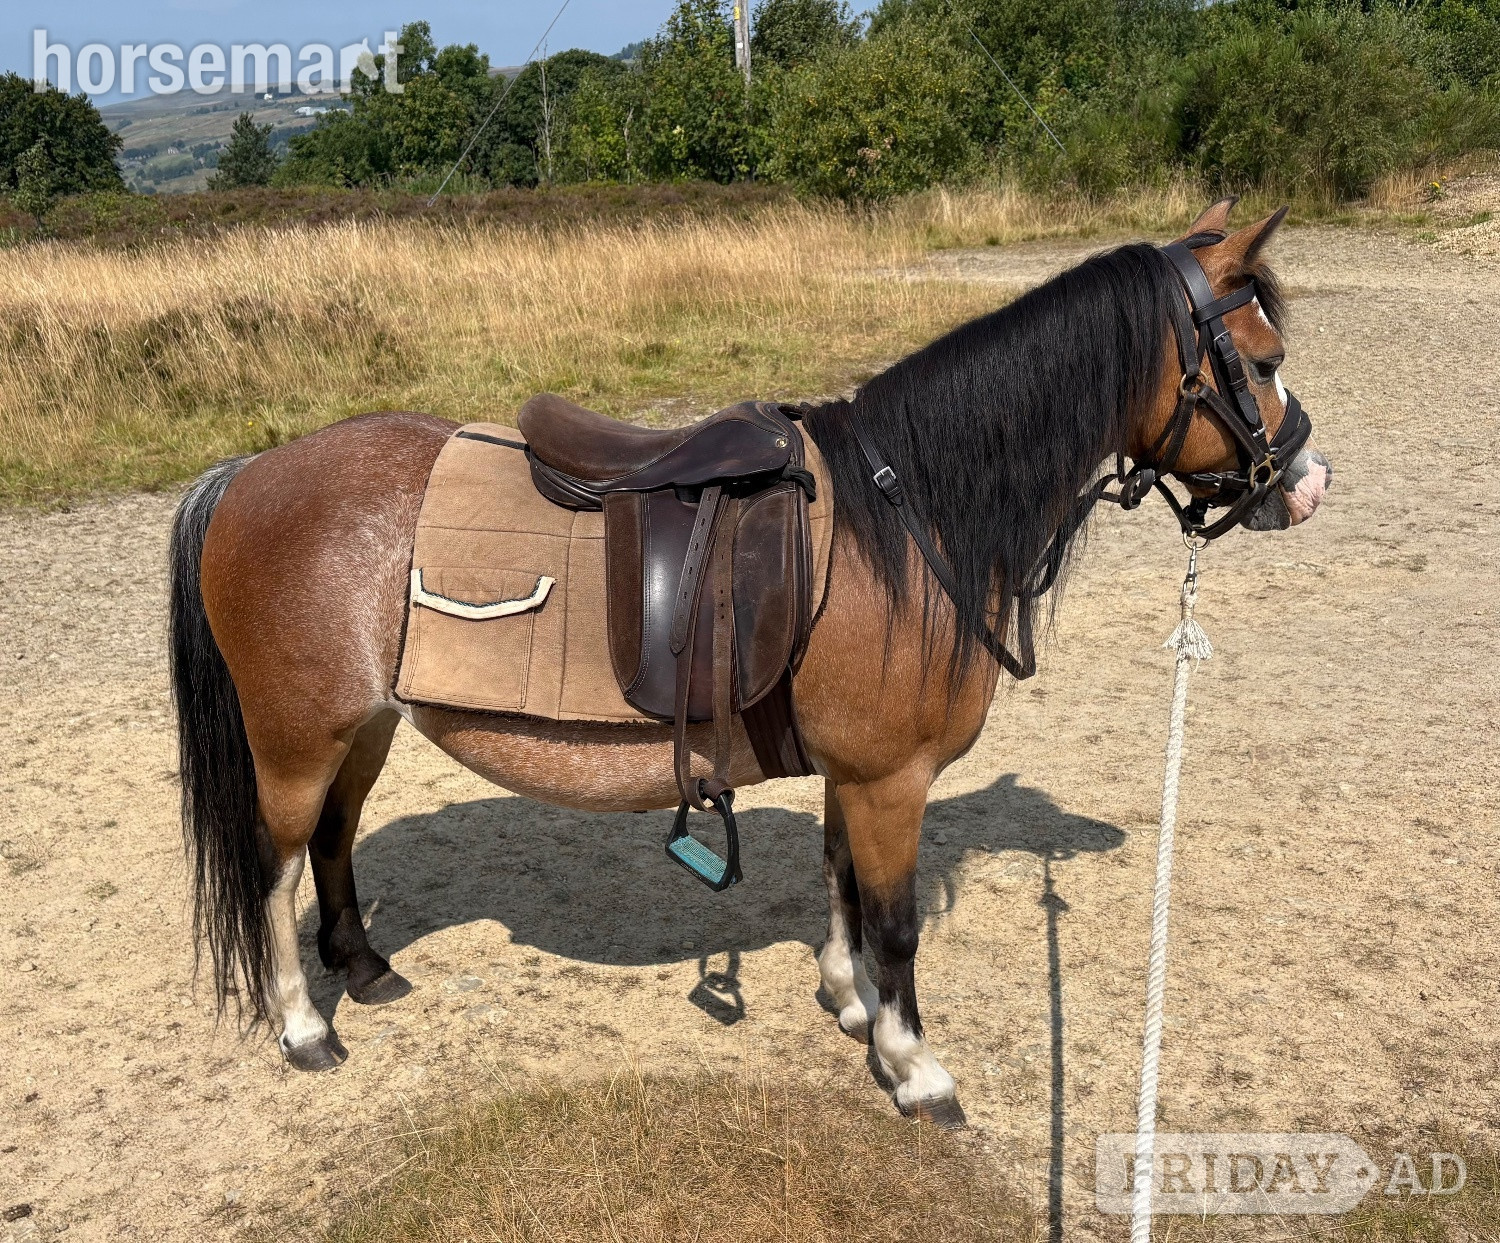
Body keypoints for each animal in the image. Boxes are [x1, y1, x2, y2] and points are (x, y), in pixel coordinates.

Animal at [168, 200, 1331, 1123]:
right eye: (1265, 361)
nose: (1309, 483)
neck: (899, 522)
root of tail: (243, 474)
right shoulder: (891, 777)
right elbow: (897, 925)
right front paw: (914, 1065)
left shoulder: (855, 773)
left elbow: (841, 883)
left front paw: (849, 1001)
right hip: (295, 738)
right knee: (274, 869)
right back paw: (304, 1025)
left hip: (360, 727)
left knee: (333, 841)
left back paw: (365, 968)